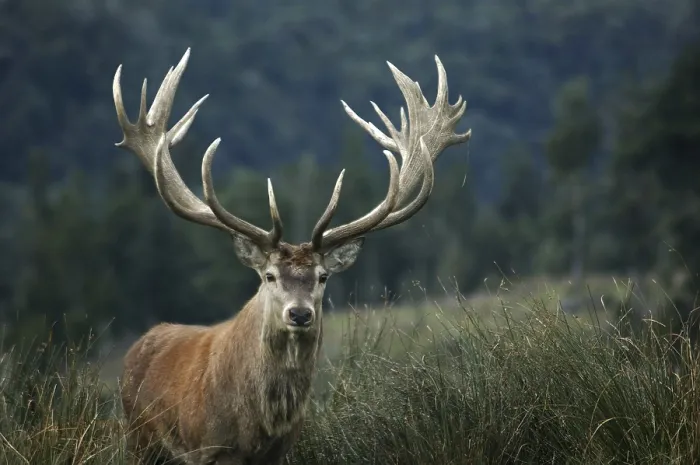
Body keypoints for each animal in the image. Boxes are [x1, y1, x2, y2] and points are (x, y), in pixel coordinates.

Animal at [113, 48, 471, 465]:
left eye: (322, 276)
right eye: (269, 276)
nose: (299, 313)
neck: (257, 428)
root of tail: (139, 346)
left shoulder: (280, 452)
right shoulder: (206, 447)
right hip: (139, 439)